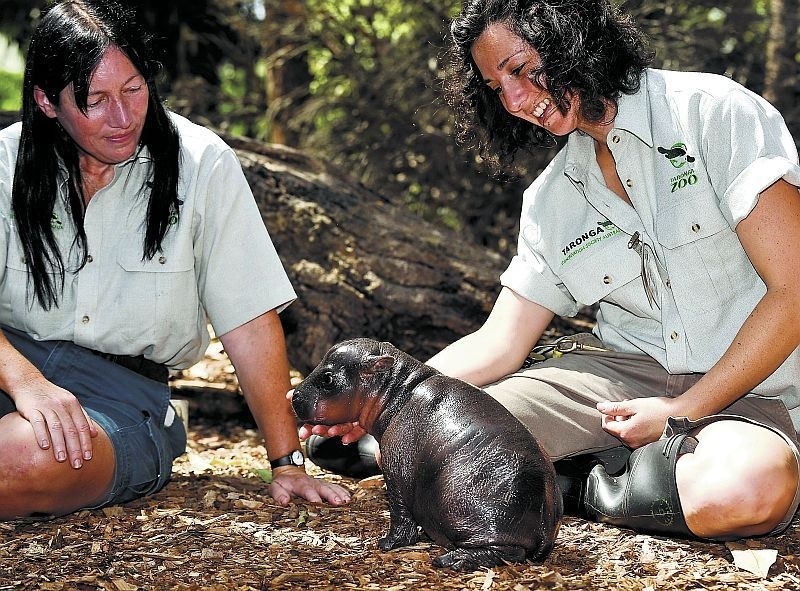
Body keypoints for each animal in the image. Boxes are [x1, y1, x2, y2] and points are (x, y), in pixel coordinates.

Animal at [290, 340, 564, 572]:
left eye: (327, 378)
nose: (294, 395)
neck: (397, 391)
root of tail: (547, 517)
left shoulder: (396, 466)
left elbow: (399, 510)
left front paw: (387, 543)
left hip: (470, 515)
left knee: (507, 551)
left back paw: (452, 559)